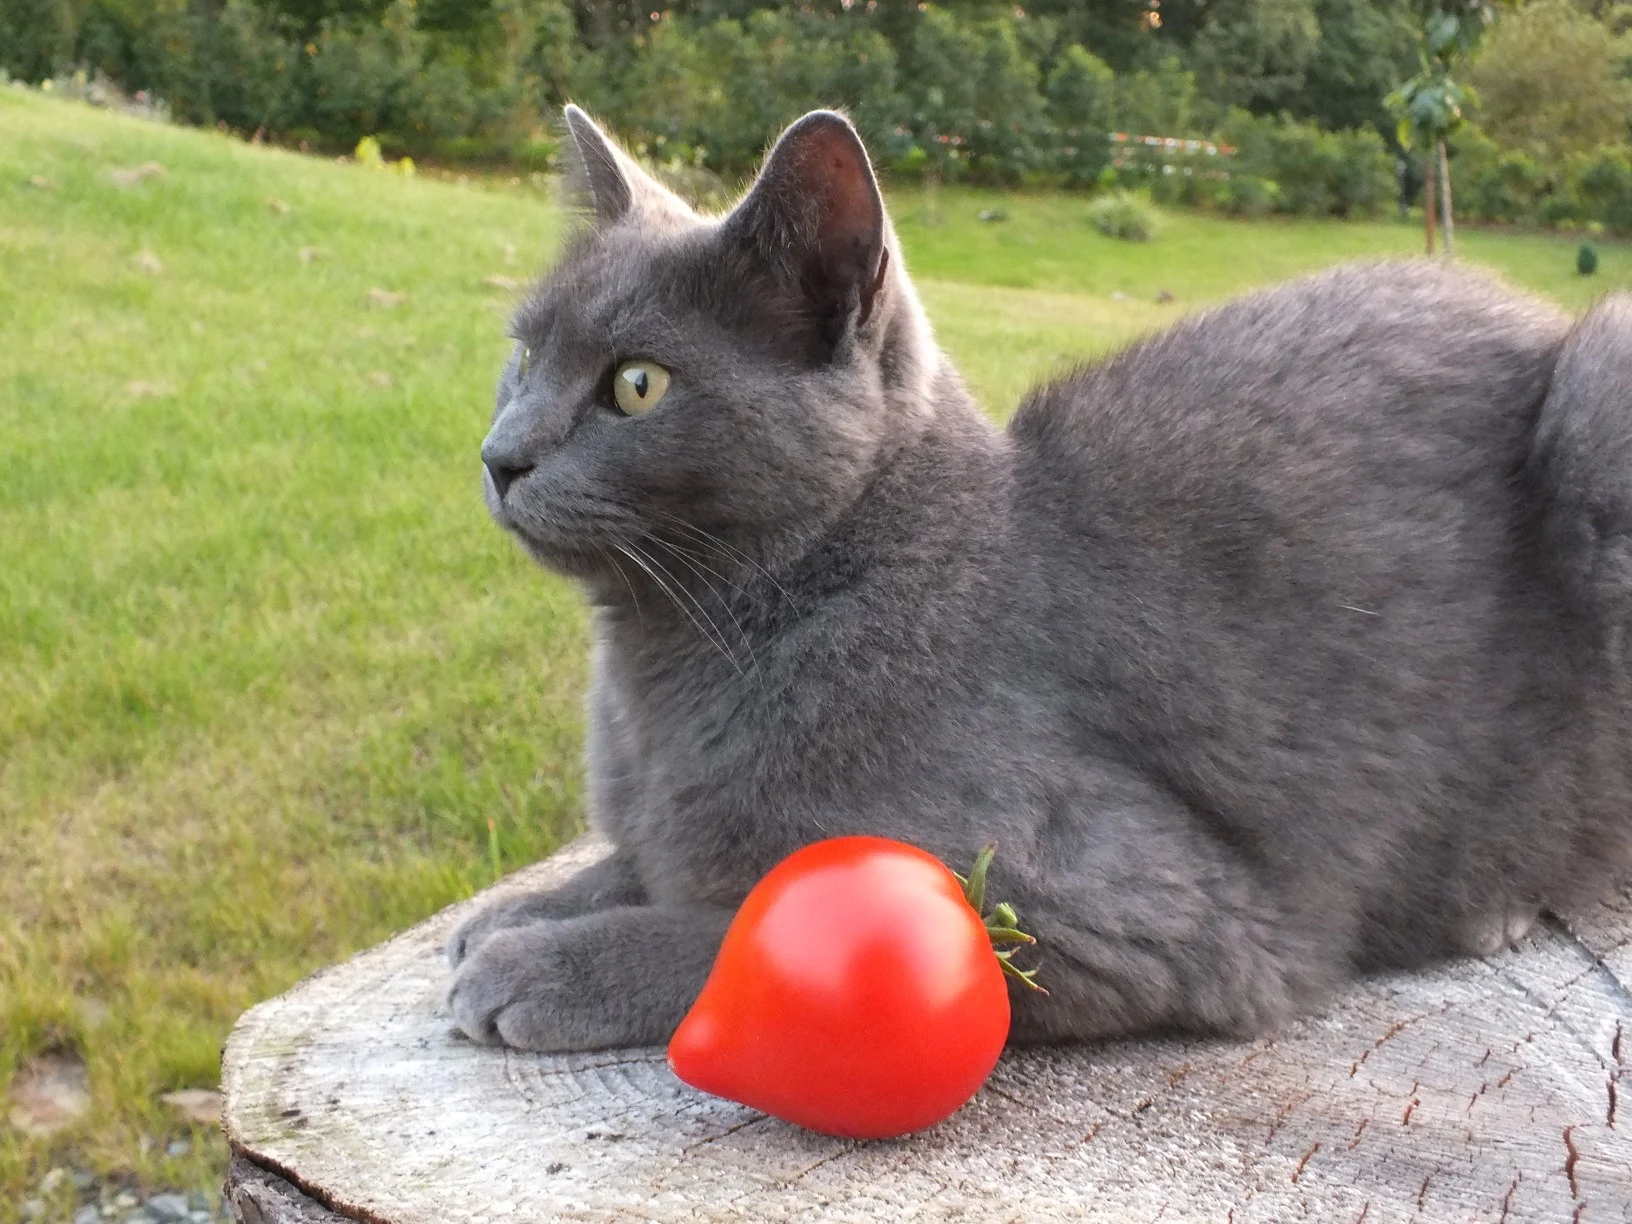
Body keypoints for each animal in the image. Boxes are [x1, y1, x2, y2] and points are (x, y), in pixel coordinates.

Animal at [445, 105, 1632, 1053]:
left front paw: (539, 964)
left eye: (637, 385)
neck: (669, 664)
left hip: (1602, 412)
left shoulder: (1128, 914)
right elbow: (645, 859)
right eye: (523, 356)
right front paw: (521, 913)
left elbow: (733, 923)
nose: (498, 455)